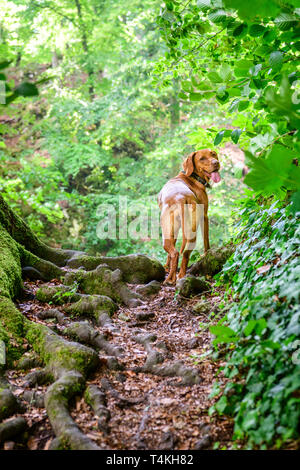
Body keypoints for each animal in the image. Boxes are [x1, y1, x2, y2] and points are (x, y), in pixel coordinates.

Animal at [157, 149, 220, 284]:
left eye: (213, 154)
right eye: (202, 158)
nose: (216, 163)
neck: (191, 177)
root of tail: (180, 198)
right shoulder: (203, 217)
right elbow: (206, 241)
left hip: (168, 234)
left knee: (176, 253)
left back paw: (171, 278)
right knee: (184, 253)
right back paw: (178, 276)